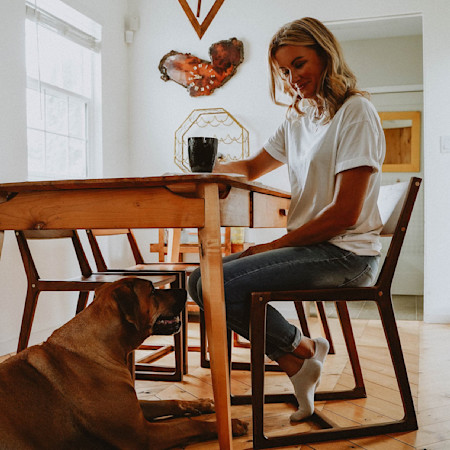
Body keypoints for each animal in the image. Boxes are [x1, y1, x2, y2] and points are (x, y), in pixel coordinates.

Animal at [0, 280, 246, 448]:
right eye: (153, 291)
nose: (184, 289)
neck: (105, 347)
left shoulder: (134, 408)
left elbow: (171, 402)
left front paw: (200, 404)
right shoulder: (143, 435)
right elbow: (190, 425)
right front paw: (230, 425)